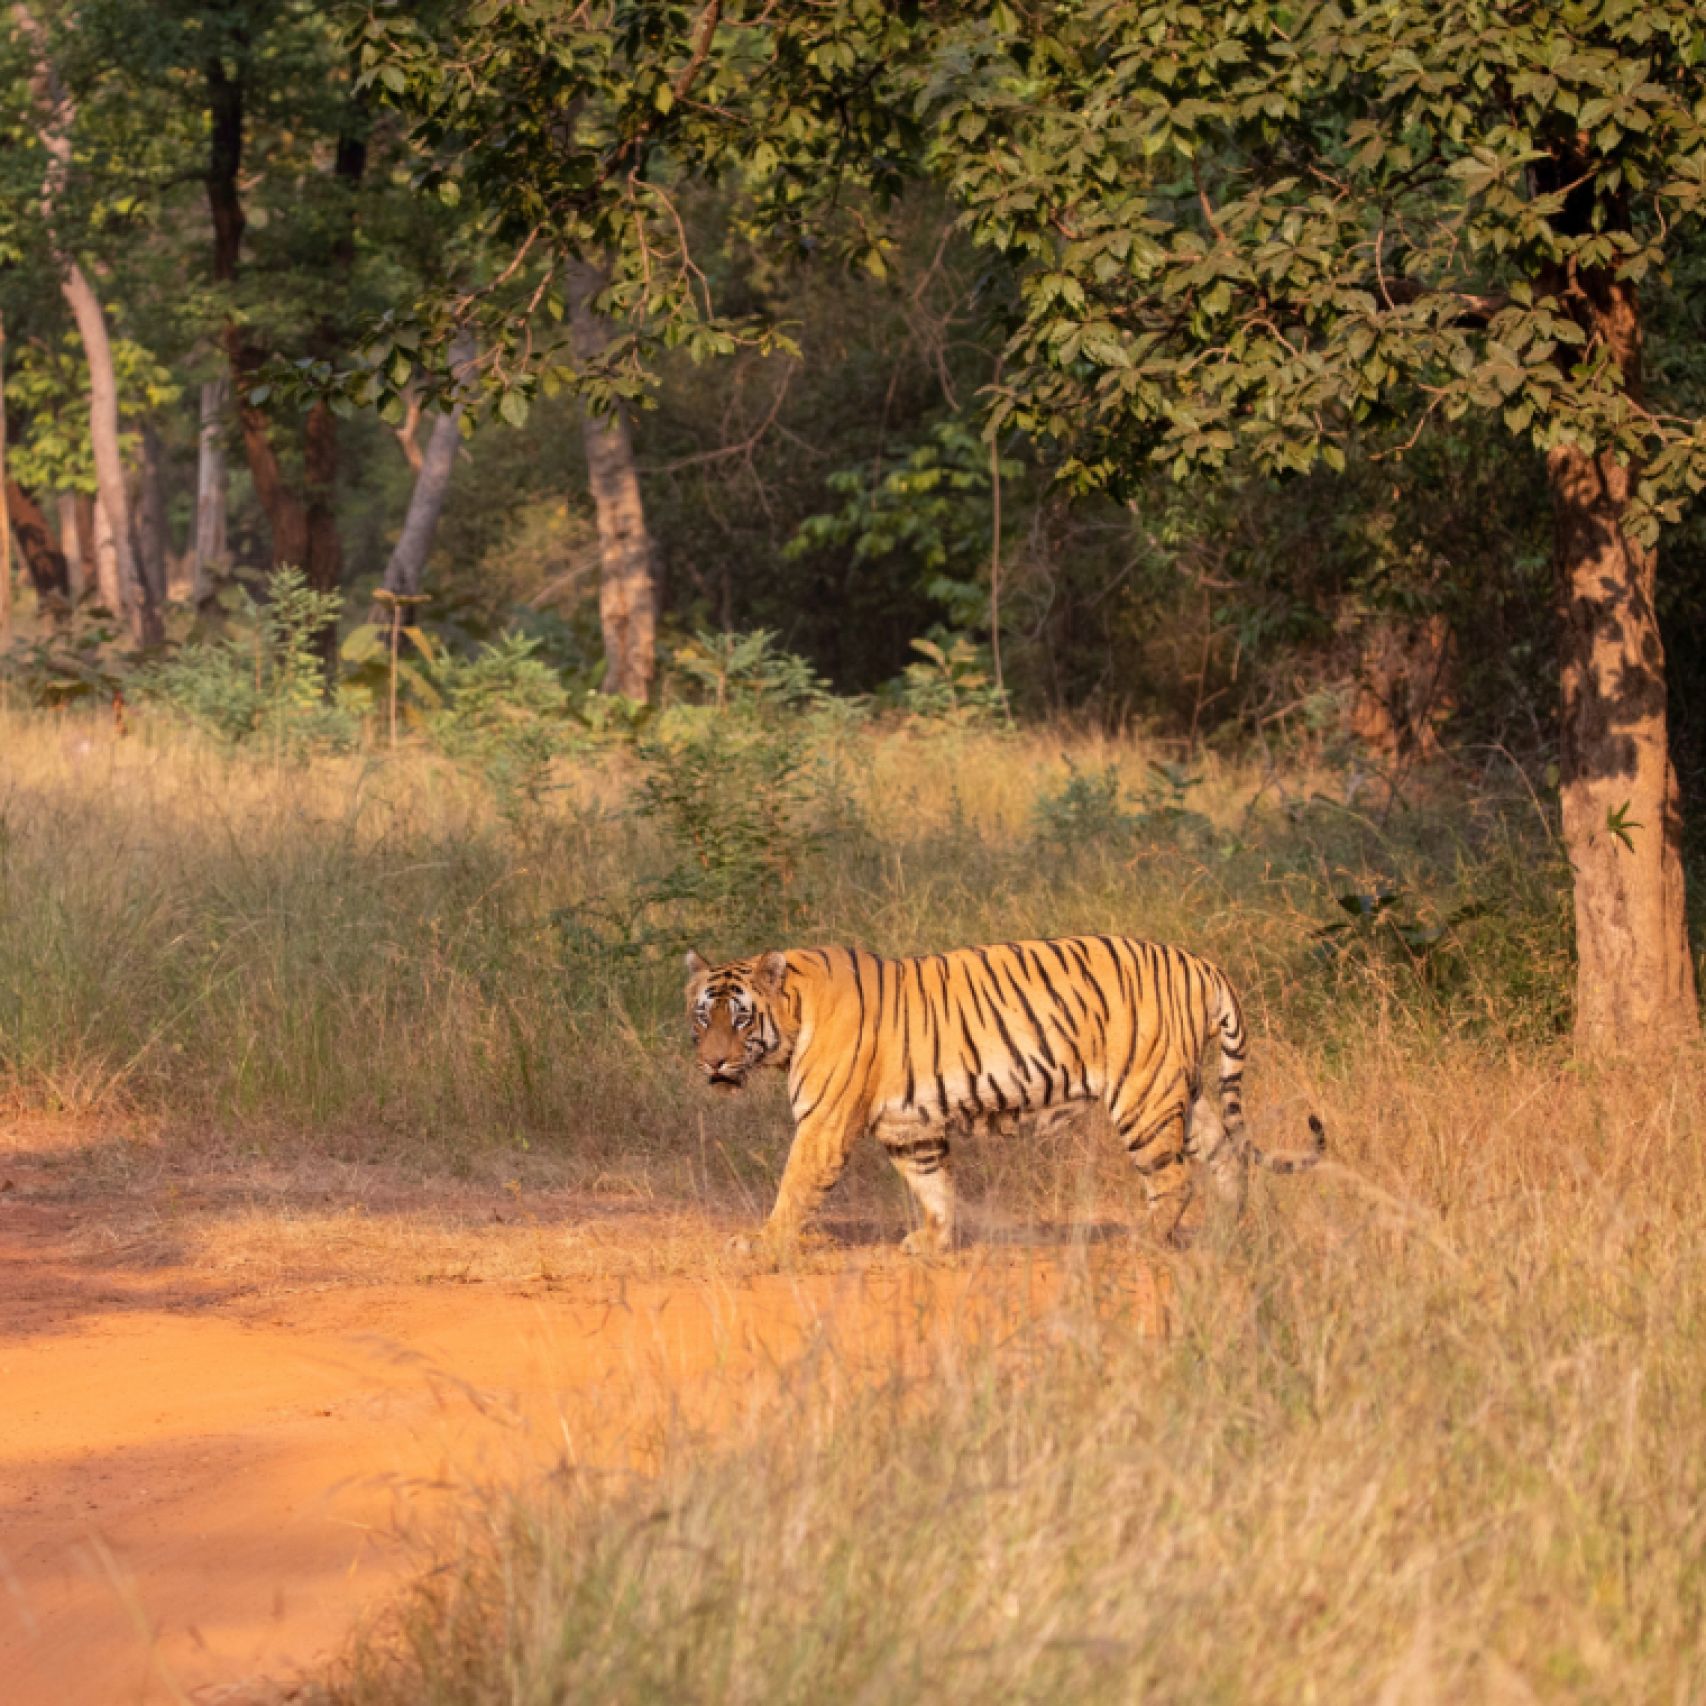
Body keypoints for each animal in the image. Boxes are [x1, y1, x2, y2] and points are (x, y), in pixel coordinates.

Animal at [685, 934, 1323, 1255]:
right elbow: (933, 1185)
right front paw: (934, 1241)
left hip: (1144, 1094)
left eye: (740, 1019)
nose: (712, 1063)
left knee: (1173, 1177)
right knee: (1226, 1155)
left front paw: (761, 1243)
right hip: (1181, 1091)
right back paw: (1222, 1234)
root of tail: (1204, 964)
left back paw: (1146, 1241)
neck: (794, 1012)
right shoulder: (910, 1126)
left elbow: (794, 1186)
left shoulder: (824, 1123)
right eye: (701, 1016)